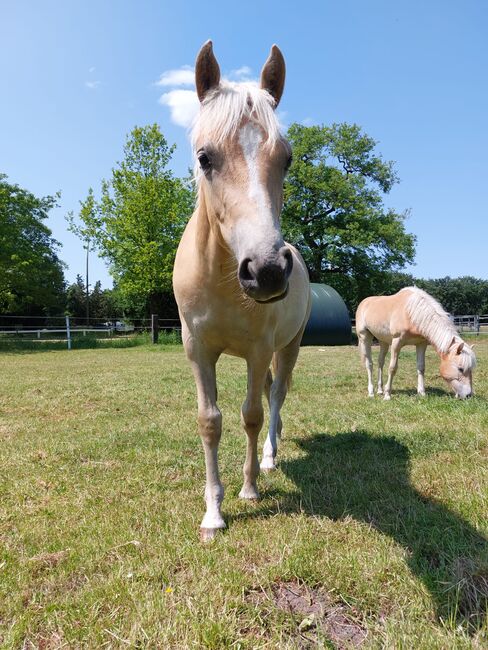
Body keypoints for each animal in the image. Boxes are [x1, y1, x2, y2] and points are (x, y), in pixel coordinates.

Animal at [173, 40, 310, 536]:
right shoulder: (197, 350)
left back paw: (269, 457)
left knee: (276, 396)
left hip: (287, 347)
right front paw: (213, 513)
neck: (222, 280)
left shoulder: (257, 349)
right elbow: (210, 422)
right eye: (204, 158)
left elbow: (251, 415)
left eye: (286, 159)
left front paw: (249, 488)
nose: (267, 270)